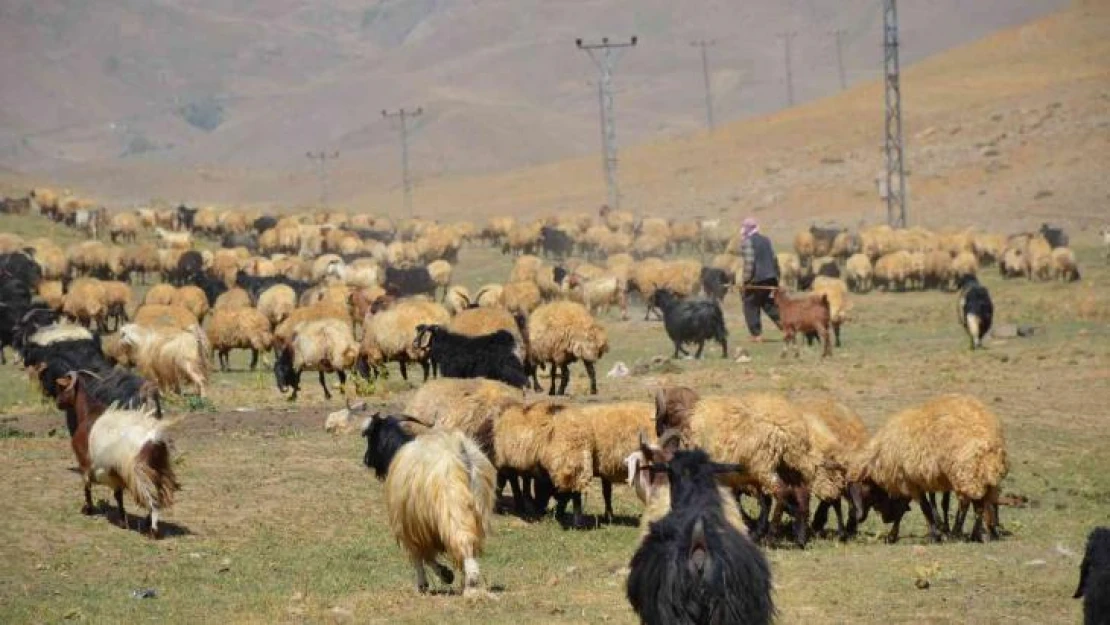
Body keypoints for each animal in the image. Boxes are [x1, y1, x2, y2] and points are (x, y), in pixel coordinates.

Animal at [53, 370, 176, 537]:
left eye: (61, 387)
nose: (58, 403)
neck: (88, 411)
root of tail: (153, 438)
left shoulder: (84, 461)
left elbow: (87, 485)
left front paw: (88, 509)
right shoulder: (114, 471)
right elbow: (118, 495)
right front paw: (122, 520)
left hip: (138, 472)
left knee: (152, 498)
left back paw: (153, 530)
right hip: (157, 468)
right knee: (159, 493)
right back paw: (147, 521)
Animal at [359, 415, 495, 595]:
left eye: (370, 436)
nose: (366, 459)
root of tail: (461, 452)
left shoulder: (410, 526)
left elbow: (422, 556)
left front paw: (433, 580)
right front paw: (447, 575)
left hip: (453, 508)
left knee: (463, 541)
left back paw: (471, 581)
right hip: (478, 507)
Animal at [652, 388, 821, 546]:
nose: (658, 431)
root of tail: (787, 430)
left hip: (763, 466)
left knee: (781, 492)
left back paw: (771, 536)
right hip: (791, 465)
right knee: (802, 493)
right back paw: (800, 537)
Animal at [843, 399, 1012, 546]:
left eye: (860, 493)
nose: (857, 518)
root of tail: (990, 441)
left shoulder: (908, 481)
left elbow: (922, 508)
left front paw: (933, 535)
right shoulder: (912, 480)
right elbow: (909, 508)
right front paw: (894, 535)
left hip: (964, 472)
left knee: (966, 503)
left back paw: (957, 533)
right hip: (982, 475)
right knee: (980, 504)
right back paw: (975, 534)